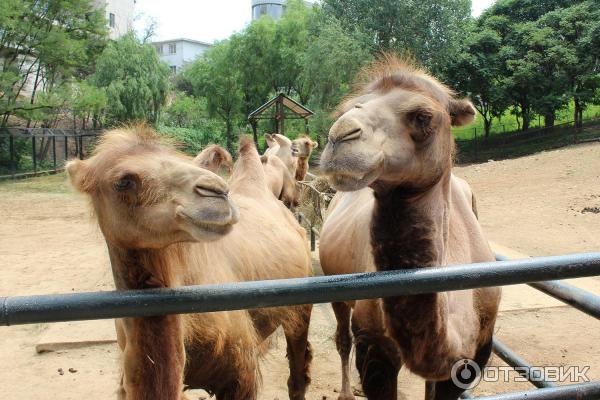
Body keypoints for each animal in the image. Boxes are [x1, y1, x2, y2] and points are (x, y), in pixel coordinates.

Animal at [318, 57, 502, 400]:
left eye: (423, 116)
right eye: (345, 109)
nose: (339, 136)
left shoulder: (477, 352)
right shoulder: (373, 347)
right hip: (335, 286)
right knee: (342, 338)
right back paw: (346, 391)